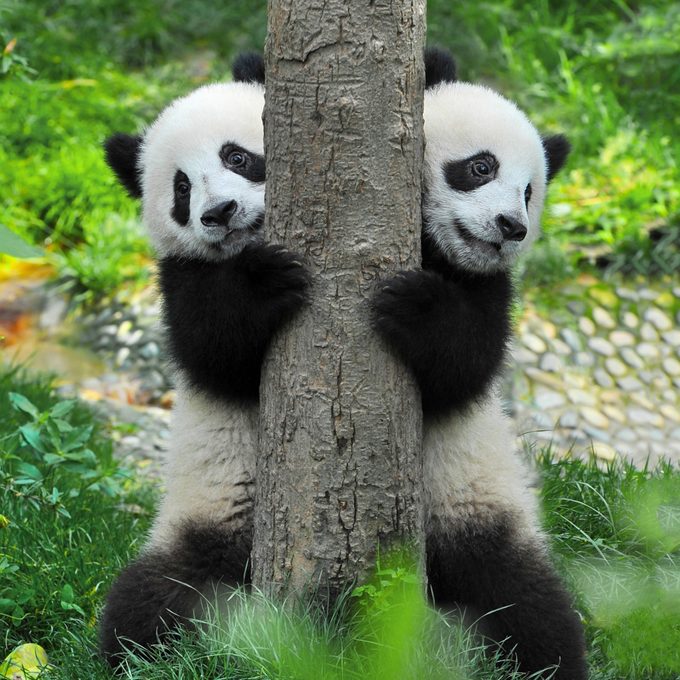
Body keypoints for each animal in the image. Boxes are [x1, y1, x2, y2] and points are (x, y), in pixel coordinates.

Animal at [99, 60, 309, 665]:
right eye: (181, 189)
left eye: (236, 156)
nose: (219, 213)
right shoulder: (179, 277)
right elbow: (216, 353)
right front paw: (265, 284)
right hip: (197, 528)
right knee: (149, 596)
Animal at [371, 48, 587, 679]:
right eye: (480, 167)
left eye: (530, 192)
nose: (511, 228)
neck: (442, 253)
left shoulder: (493, 289)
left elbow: (466, 366)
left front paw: (415, 307)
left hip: (482, 510)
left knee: (528, 603)